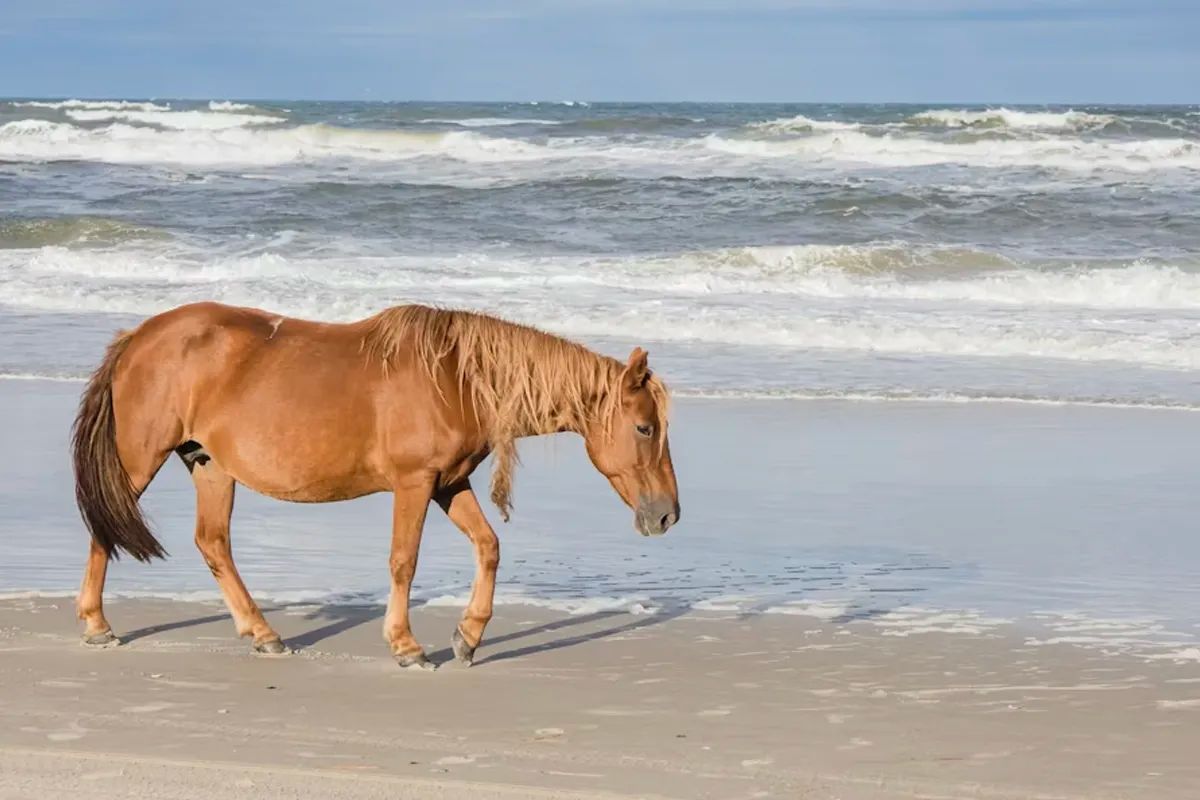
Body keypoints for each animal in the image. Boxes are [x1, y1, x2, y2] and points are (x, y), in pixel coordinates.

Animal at [71, 301, 680, 669]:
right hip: (139, 460)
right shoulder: (415, 484)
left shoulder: (449, 484)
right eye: (645, 427)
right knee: (106, 526)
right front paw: (407, 645)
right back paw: (97, 624)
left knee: (213, 544)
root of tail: (138, 337)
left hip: (211, 466)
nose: (668, 515)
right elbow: (403, 561)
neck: (455, 377)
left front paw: (468, 637)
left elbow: (488, 547)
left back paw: (263, 634)